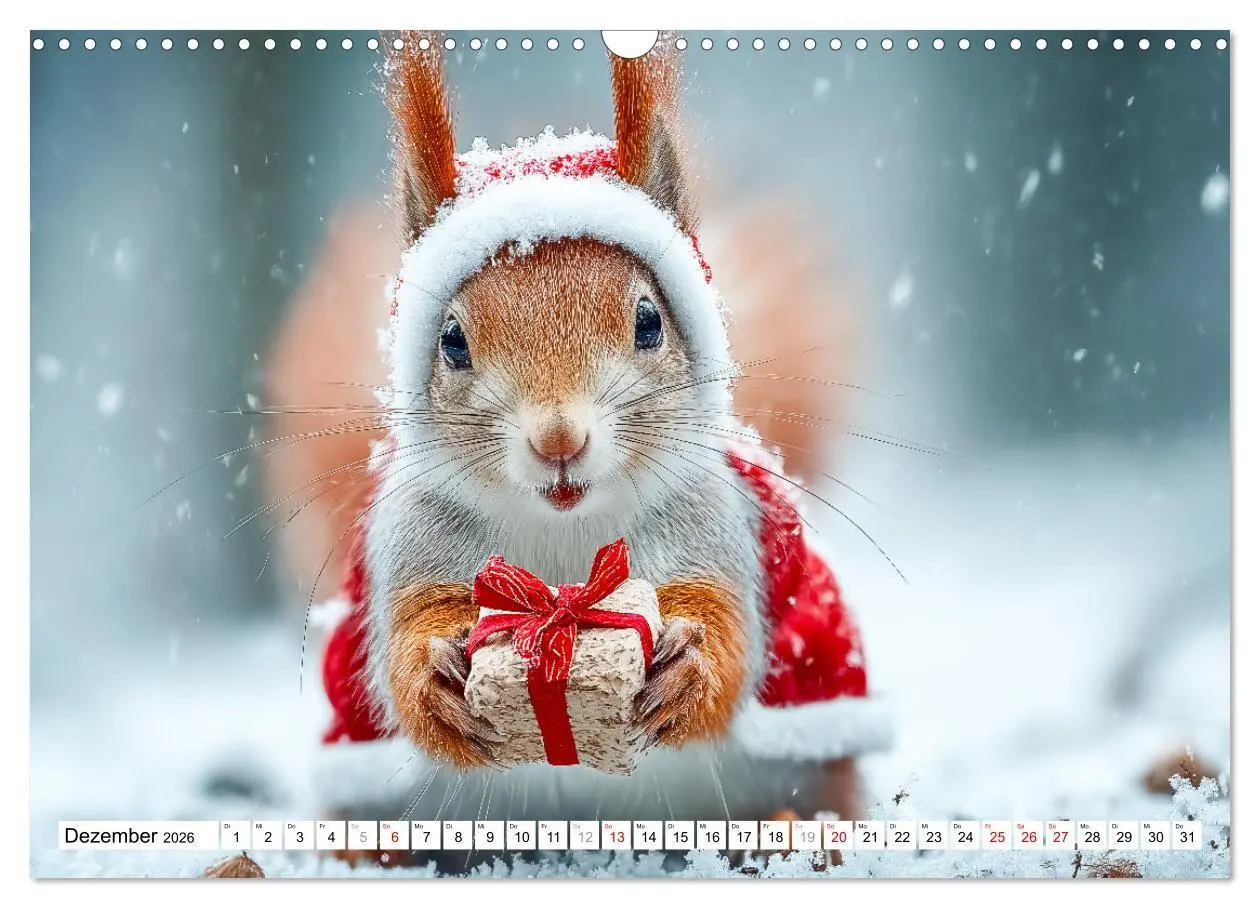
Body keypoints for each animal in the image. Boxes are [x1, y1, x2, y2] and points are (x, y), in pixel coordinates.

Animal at [263, 33, 887, 826]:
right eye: (453, 342)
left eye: (649, 321)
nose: (558, 441)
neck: (566, 539)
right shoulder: (408, 547)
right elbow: (403, 644)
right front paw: (435, 678)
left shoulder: (717, 532)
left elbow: (728, 633)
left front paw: (687, 664)